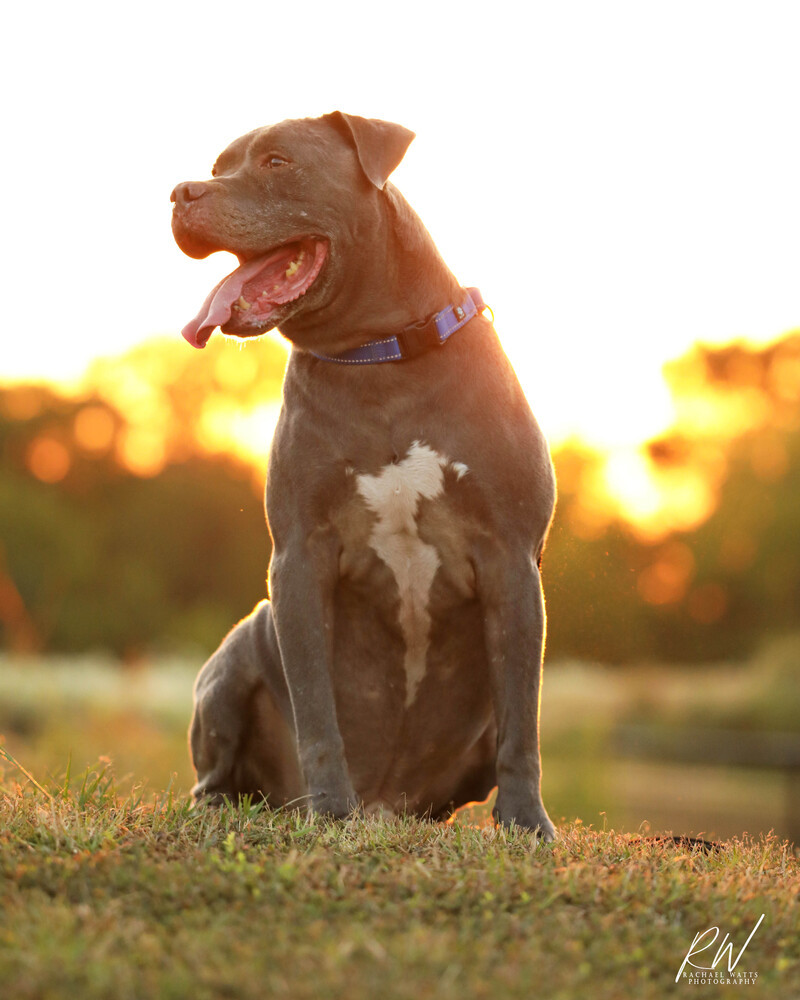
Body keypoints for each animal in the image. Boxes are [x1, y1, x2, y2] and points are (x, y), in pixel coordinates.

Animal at [169, 111, 556, 836]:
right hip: (236, 654)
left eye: (277, 162)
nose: (181, 192)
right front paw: (328, 810)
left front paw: (525, 823)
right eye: (218, 166)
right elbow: (317, 708)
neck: (378, 359)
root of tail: (388, 803)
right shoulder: (299, 557)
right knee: (216, 765)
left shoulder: (511, 560)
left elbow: (523, 715)